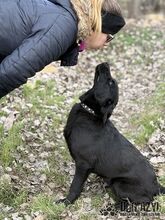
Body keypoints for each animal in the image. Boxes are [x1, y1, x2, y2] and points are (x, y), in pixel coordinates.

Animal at [59, 62, 165, 207]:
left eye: (110, 82)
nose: (106, 64)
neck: (90, 112)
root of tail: (157, 186)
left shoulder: (82, 164)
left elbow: (75, 186)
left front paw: (66, 202)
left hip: (119, 183)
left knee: (143, 200)